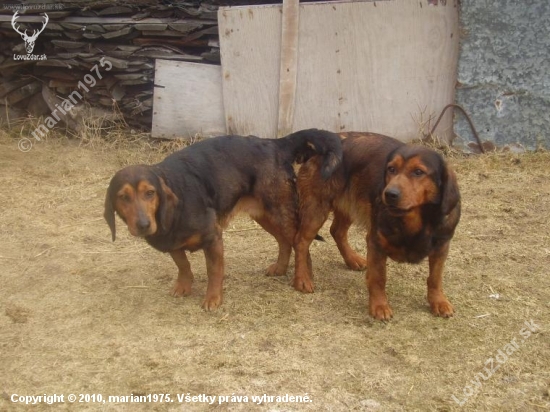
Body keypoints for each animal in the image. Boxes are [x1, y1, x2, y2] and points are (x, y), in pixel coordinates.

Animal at [105, 129, 342, 308]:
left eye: (150, 193)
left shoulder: (213, 239)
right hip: (264, 214)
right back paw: (281, 268)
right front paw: (183, 286)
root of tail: (273, 143)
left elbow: (214, 271)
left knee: (301, 243)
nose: (143, 225)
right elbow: (182, 264)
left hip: (280, 211)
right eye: (123, 197)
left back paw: (303, 278)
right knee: (285, 242)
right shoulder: (174, 244)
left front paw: (212, 299)